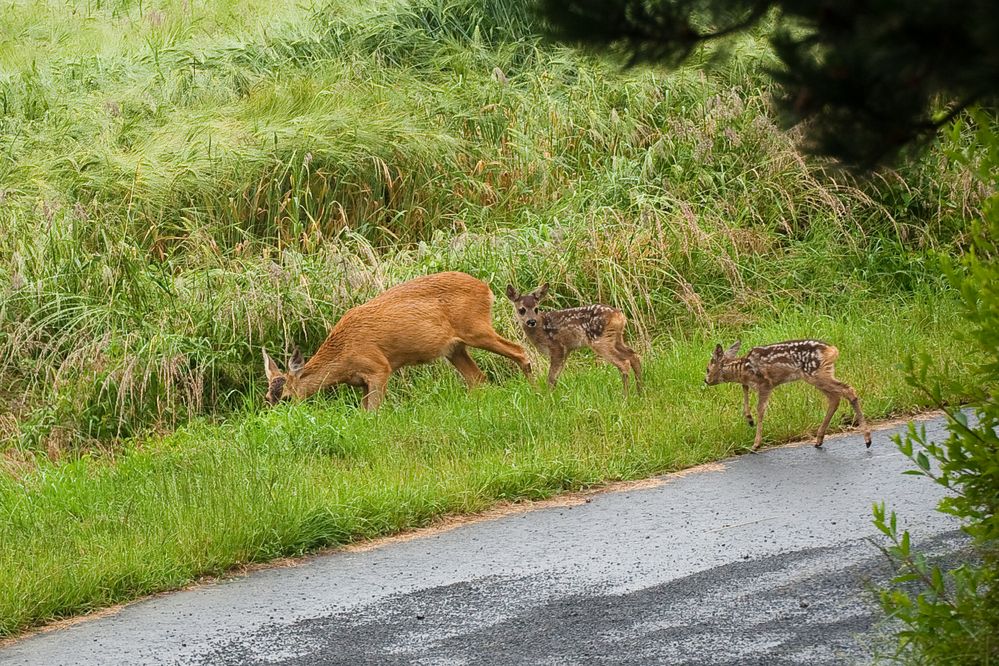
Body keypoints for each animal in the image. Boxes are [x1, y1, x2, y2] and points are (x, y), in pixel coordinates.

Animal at [264, 272, 532, 408]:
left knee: (519, 350)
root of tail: (487, 288)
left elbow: (373, 412)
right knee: (477, 378)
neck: (343, 355)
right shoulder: (361, 381)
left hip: (475, 328)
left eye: (286, 398)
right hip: (454, 348)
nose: (279, 421)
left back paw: (534, 386)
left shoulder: (379, 368)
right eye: (267, 398)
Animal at [504, 282, 644, 394]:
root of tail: (619, 316)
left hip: (600, 340)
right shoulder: (567, 350)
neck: (541, 330)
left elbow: (551, 378)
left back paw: (625, 397)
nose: (531, 321)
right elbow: (556, 377)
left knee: (624, 363)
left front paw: (548, 398)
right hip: (616, 339)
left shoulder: (557, 347)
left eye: (536, 308)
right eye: (521, 310)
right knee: (633, 356)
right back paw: (640, 392)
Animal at [708, 338, 872, 452]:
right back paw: (819, 440)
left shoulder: (766, 383)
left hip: (816, 374)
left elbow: (760, 409)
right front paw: (749, 419)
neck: (743, 367)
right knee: (835, 398)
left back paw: (867, 440)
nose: (706, 380)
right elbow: (744, 388)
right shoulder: (753, 383)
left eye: (707, 369)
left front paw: (756, 444)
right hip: (819, 375)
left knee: (848, 390)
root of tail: (832, 350)